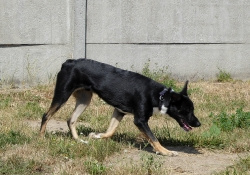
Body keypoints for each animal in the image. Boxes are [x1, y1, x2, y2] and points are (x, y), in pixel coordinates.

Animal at [41, 58, 201, 156]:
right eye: (187, 110)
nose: (199, 123)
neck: (160, 96)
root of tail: (69, 62)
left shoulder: (119, 111)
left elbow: (110, 131)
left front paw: (96, 136)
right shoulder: (140, 121)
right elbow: (153, 138)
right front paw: (166, 152)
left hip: (85, 99)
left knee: (71, 120)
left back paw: (78, 140)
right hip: (62, 95)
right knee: (46, 115)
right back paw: (41, 137)